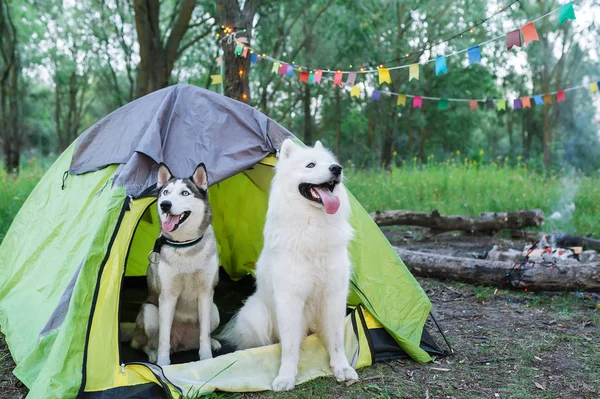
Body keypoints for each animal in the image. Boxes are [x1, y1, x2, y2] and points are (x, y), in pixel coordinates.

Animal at [132, 162, 221, 366]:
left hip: (215, 311)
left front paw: (206, 358)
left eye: (185, 193)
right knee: (146, 343)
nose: (165, 205)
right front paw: (164, 364)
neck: (185, 245)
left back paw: (213, 342)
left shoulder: (206, 293)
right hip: (149, 311)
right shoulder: (167, 295)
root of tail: (182, 343)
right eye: (166, 192)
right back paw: (153, 354)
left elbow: (204, 335)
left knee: (204, 333)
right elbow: (164, 338)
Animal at [223, 140, 358, 390]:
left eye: (330, 162)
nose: (337, 169)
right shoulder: (290, 299)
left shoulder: (334, 295)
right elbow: (290, 346)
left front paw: (342, 368)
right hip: (257, 314)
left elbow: (336, 340)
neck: (313, 225)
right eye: (310, 165)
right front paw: (286, 377)